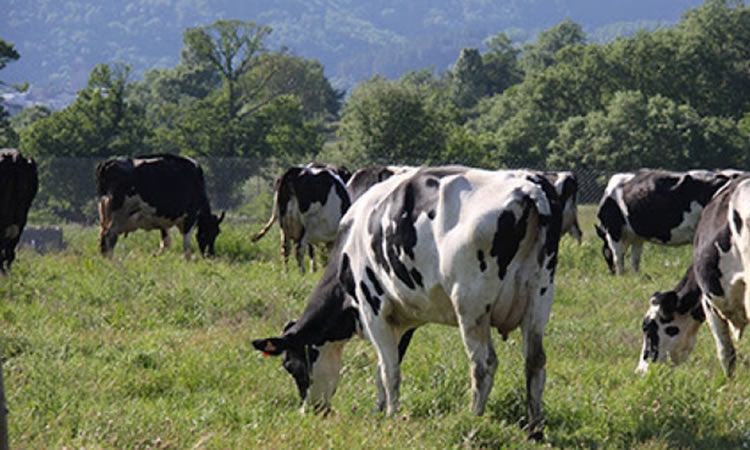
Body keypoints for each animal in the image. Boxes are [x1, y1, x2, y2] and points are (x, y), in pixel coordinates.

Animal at [95, 155, 223, 258]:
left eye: (218, 233)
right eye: (211, 232)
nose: (210, 255)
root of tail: (108, 163)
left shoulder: (163, 221)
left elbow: (166, 242)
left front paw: (156, 255)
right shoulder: (190, 216)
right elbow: (186, 244)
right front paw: (188, 260)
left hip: (105, 215)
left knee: (103, 238)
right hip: (118, 215)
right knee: (108, 238)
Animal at [253, 166, 564, 440]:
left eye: (291, 365)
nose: (311, 411)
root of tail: (528, 187)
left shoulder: (373, 309)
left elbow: (389, 369)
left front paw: (391, 414)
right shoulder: (404, 320)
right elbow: (384, 368)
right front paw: (380, 409)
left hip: (470, 305)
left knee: (483, 363)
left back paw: (473, 419)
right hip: (539, 298)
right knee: (535, 362)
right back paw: (535, 430)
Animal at [596, 169, 744, 274]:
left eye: (603, 251)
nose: (611, 273)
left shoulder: (613, 230)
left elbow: (618, 256)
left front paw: (621, 277)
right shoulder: (637, 236)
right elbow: (635, 259)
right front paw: (636, 278)